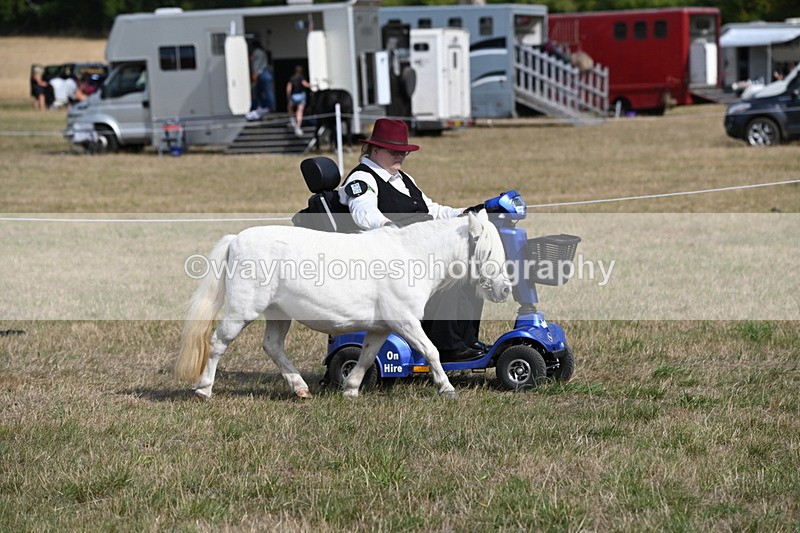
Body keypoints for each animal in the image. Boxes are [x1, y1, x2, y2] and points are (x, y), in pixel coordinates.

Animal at [175, 210, 511, 400]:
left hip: (279, 314)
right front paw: (447, 388)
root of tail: (236, 239)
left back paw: (300, 388)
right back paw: (204, 389)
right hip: (242, 310)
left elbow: (366, 356)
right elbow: (431, 351)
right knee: (218, 342)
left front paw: (350, 389)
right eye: (487, 251)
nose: (505, 289)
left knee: (272, 346)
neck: (411, 256)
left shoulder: (381, 328)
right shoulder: (404, 320)